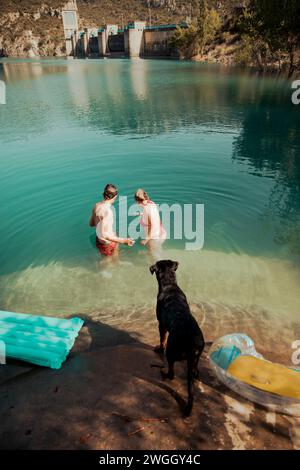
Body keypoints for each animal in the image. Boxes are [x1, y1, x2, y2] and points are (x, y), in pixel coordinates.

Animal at [149, 258, 204, 416]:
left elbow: (162, 338)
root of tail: (191, 346)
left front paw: (158, 348)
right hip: (197, 356)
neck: (170, 285)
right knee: (195, 369)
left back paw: (164, 373)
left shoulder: (161, 324)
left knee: (172, 373)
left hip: (172, 351)